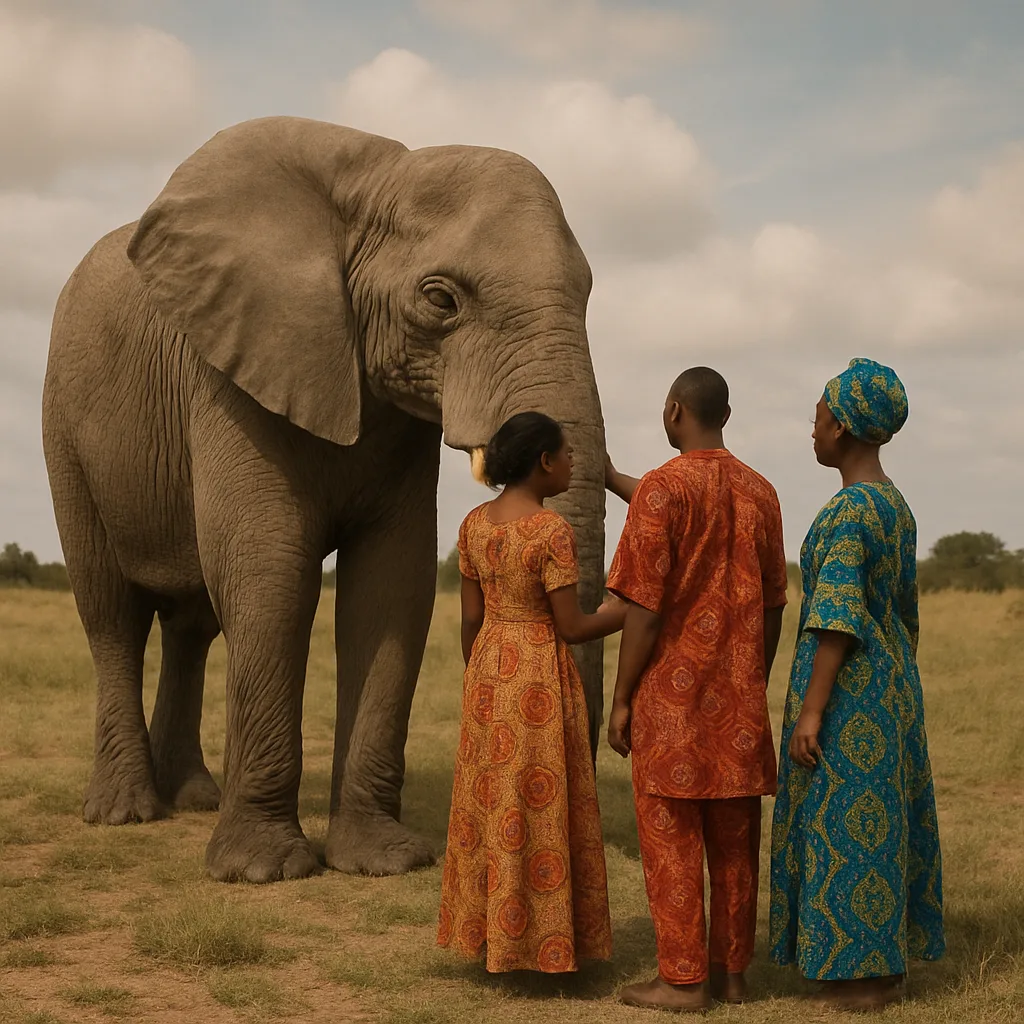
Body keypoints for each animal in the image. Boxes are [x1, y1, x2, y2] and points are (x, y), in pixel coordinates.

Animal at [41, 116, 607, 883]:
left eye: (588, 293)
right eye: (440, 299)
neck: (373, 181)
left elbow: (391, 587)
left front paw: (384, 861)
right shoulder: (233, 374)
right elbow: (270, 574)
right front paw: (262, 872)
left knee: (191, 625)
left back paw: (192, 799)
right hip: (65, 430)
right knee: (110, 613)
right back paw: (125, 812)